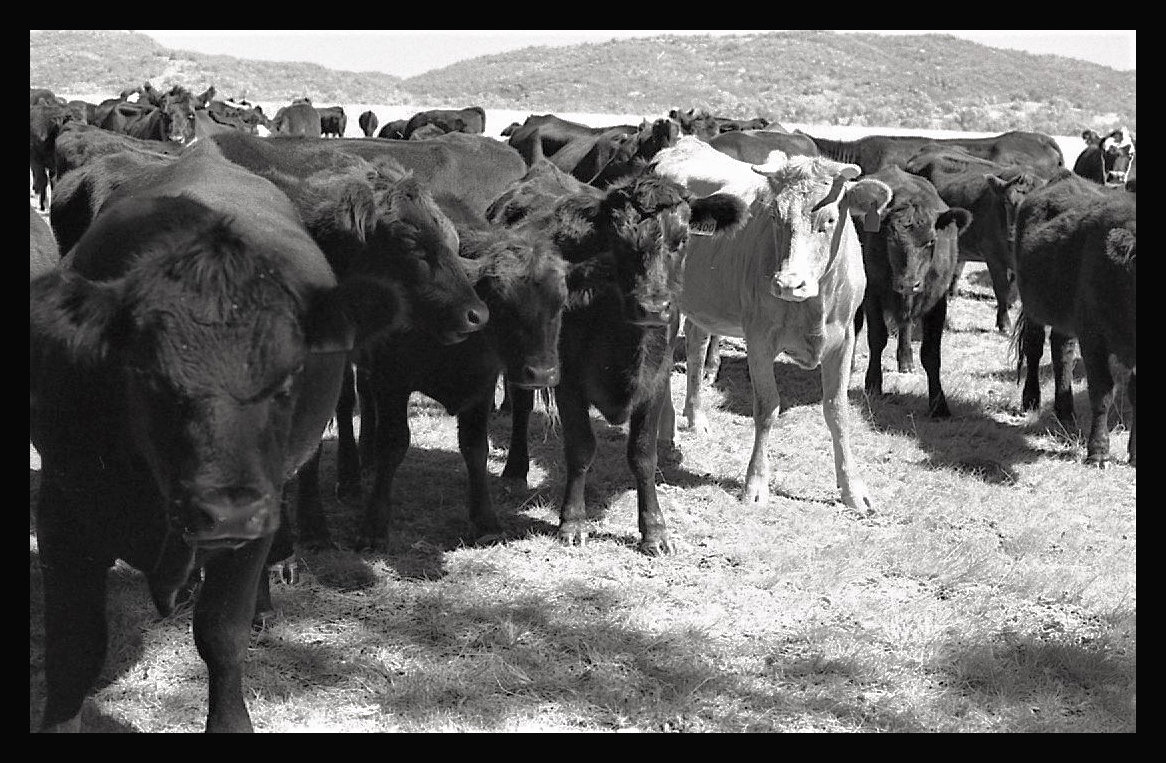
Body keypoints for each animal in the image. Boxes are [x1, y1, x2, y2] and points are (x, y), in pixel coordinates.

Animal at [30, 140, 359, 733]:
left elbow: (221, 634)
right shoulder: (63, 509)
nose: (226, 510)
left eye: (287, 379)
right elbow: (73, 648)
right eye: (147, 374)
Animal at [493, 159, 748, 554]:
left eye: (682, 240)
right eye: (618, 242)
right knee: (520, 405)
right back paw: (514, 472)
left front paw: (655, 530)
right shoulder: (567, 380)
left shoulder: (656, 380)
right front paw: (572, 522)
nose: (653, 307)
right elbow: (581, 449)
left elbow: (643, 454)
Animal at [649, 136, 893, 511]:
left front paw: (853, 489)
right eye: (777, 218)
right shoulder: (759, 339)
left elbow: (837, 410)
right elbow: (767, 407)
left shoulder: (845, 340)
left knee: (696, 346)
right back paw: (668, 430)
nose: (788, 284)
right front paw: (756, 483)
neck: (814, 305)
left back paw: (696, 418)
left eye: (829, 218)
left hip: (702, 301)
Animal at [853, 166, 972, 417]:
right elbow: (877, 338)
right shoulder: (873, 293)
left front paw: (938, 404)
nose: (909, 284)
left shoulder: (937, 300)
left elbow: (931, 353)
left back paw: (906, 361)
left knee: (905, 325)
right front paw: (873, 385)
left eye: (931, 241)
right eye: (890, 240)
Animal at [1013, 172, 1135, 467]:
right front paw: (1098, 451)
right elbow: (1102, 393)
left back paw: (1066, 413)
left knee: (1062, 353)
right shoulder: (1093, 338)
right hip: (1033, 306)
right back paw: (1031, 399)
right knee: (1034, 347)